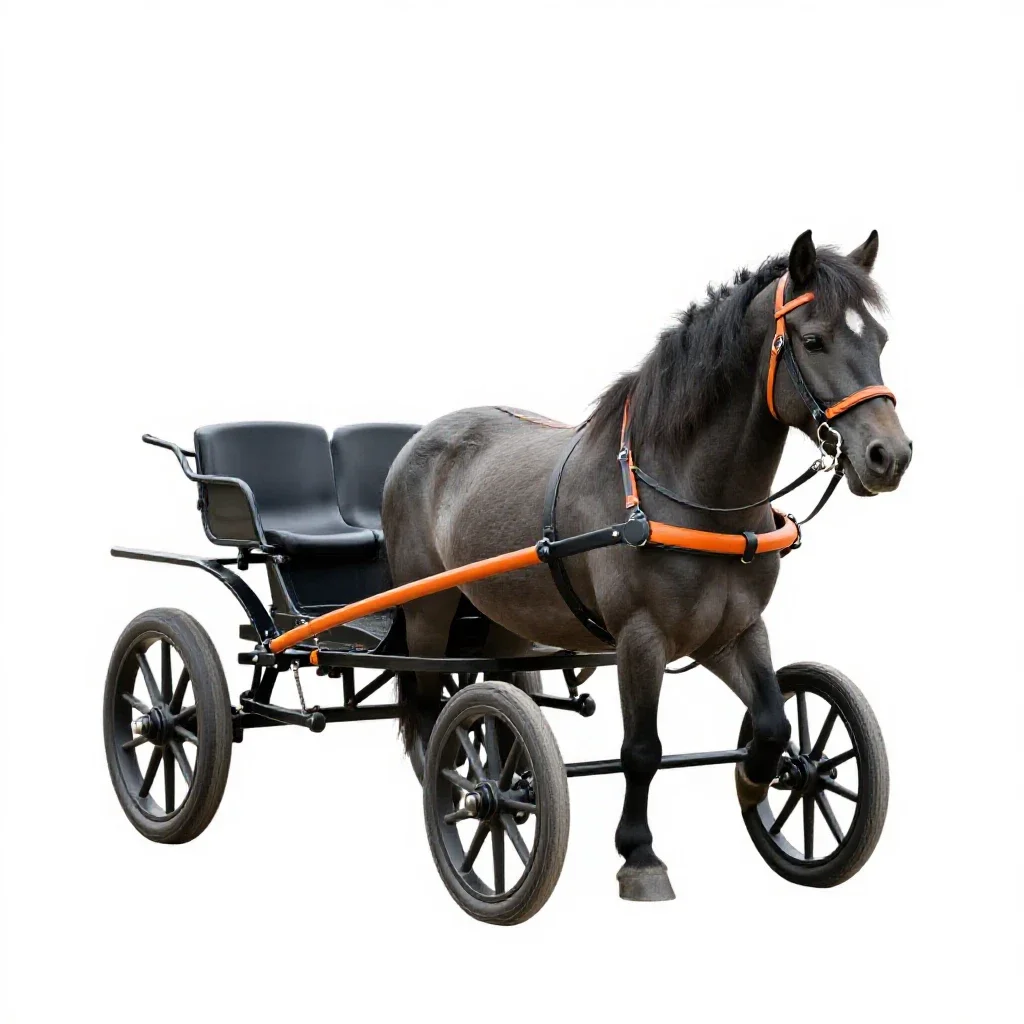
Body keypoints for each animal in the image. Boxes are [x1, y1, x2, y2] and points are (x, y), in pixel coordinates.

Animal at [382, 230, 911, 901]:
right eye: (814, 339)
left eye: (880, 340)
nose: (889, 456)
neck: (687, 496)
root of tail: (418, 442)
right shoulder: (642, 638)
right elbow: (641, 751)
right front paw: (639, 855)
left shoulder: (734, 630)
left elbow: (773, 724)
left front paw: (757, 782)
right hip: (426, 610)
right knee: (428, 715)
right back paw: (466, 797)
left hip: (505, 617)